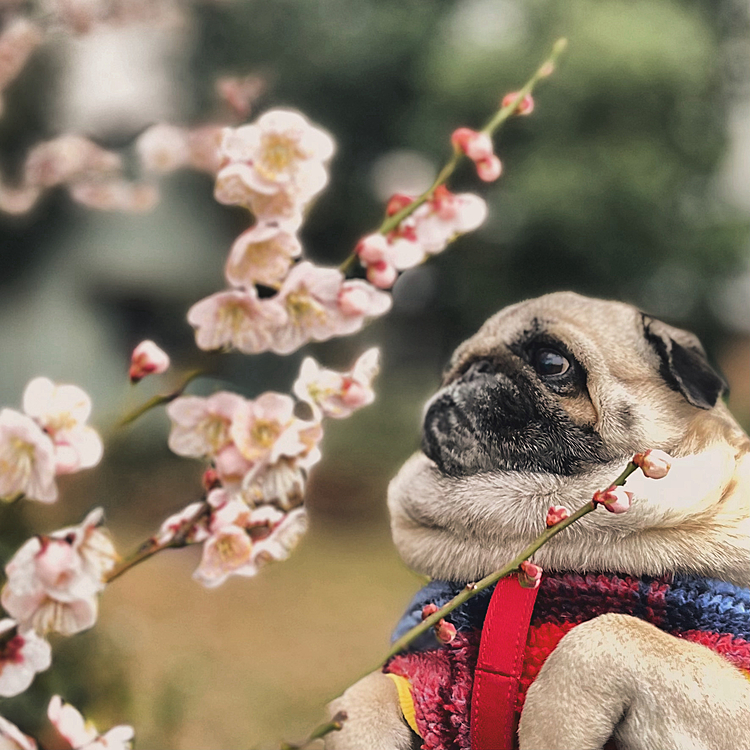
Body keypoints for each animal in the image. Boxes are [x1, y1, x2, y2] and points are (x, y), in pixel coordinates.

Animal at [326, 292, 750, 750]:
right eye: (453, 369)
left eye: (551, 361)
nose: (475, 369)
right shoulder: (429, 671)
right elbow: (364, 697)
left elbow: (604, 634)